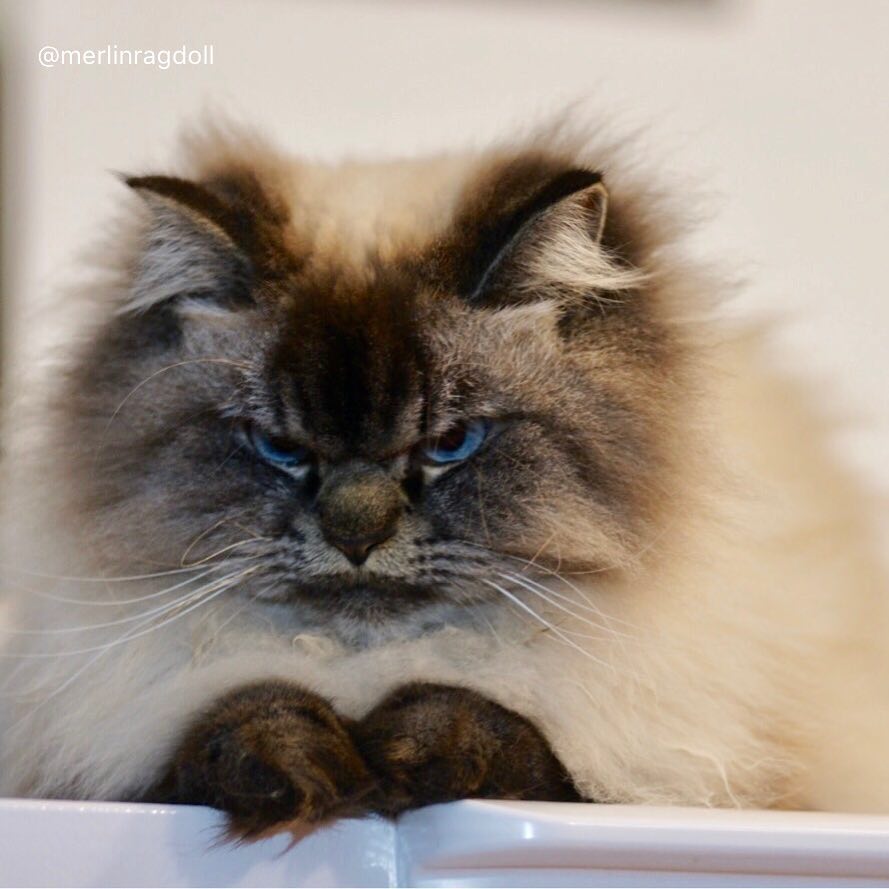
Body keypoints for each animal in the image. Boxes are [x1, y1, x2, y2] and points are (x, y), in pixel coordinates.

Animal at [1, 121, 888, 836]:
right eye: (280, 446)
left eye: (451, 442)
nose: (355, 532)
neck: (362, 669)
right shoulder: (104, 752)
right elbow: (232, 719)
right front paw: (310, 767)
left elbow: (503, 734)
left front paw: (404, 755)